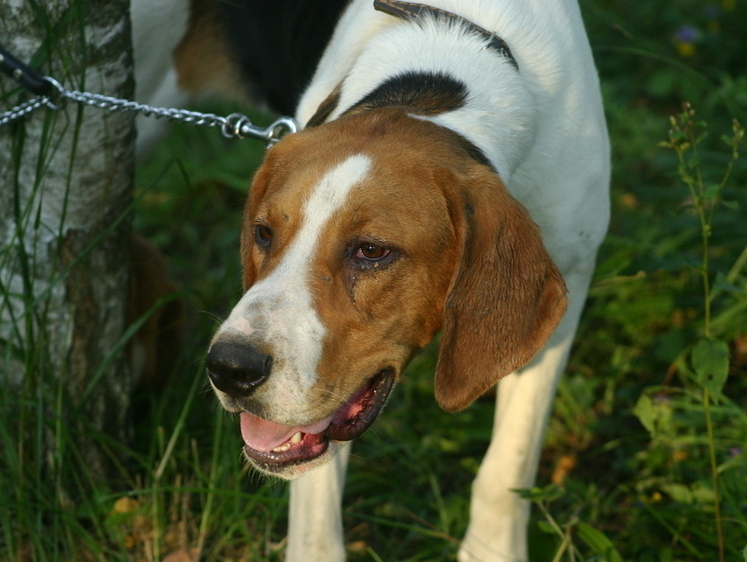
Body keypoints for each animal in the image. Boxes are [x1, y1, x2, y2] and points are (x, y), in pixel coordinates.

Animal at [131, 2, 612, 556]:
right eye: (264, 233)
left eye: (372, 251)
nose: (230, 368)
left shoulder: (571, 276)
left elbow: (509, 461)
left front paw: (490, 550)